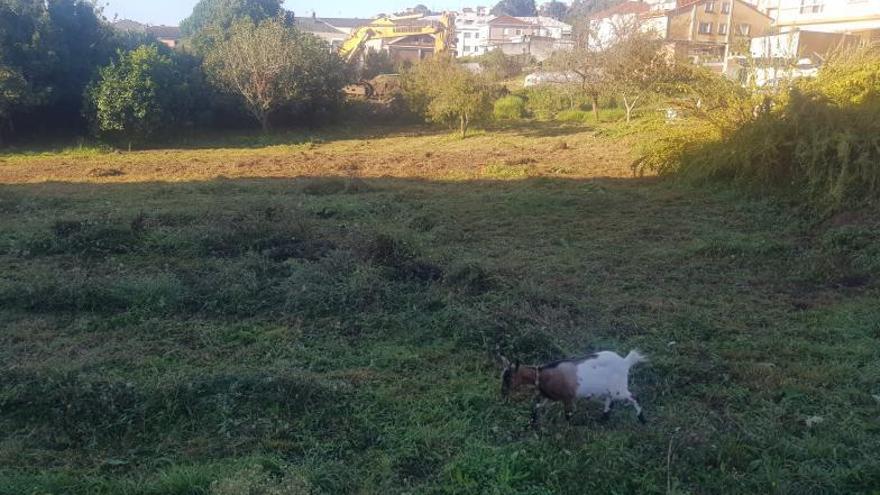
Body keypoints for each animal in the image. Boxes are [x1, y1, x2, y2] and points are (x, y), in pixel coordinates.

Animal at [502, 352, 648, 426]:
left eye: (508, 378)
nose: (503, 395)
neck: (543, 375)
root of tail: (625, 361)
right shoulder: (548, 396)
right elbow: (535, 407)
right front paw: (531, 424)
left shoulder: (567, 398)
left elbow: (568, 415)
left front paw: (568, 430)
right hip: (610, 389)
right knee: (609, 401)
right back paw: (603, 420)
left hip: (619, 388)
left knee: (634, 397)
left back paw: (642, 419)